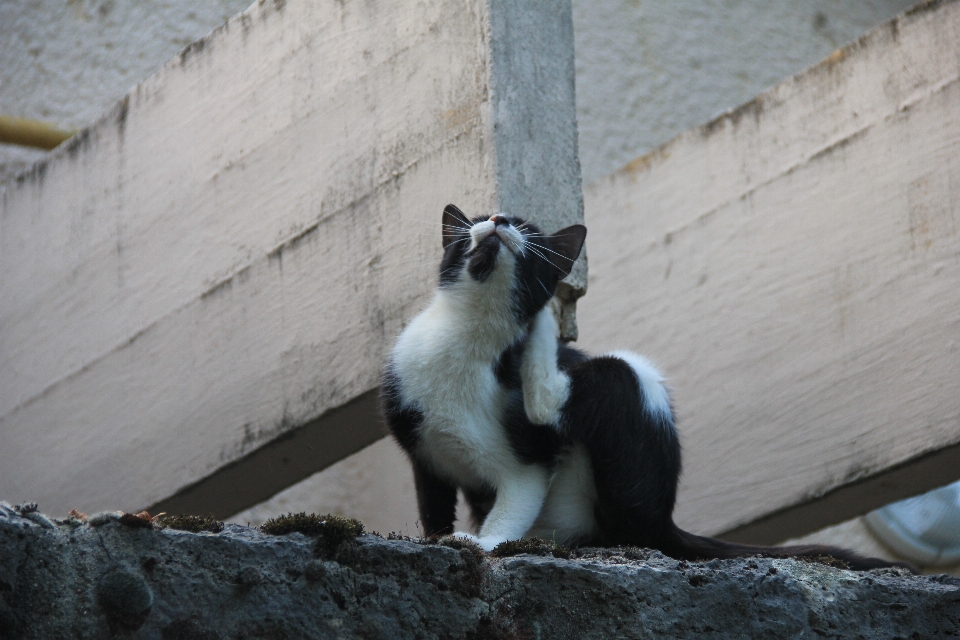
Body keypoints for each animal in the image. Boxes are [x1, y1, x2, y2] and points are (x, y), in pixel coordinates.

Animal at [380, 204, 908, 568]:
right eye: (473, 222)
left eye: (525, 227)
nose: (496, 218)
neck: (469, 336)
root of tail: (665, 521)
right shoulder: (422, 449)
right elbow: (433, 503)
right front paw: (438, 537)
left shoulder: (527, 461)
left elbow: (515, 500)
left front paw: (483, 542)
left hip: (629, 390)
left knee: (580, 402)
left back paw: (546, 326)